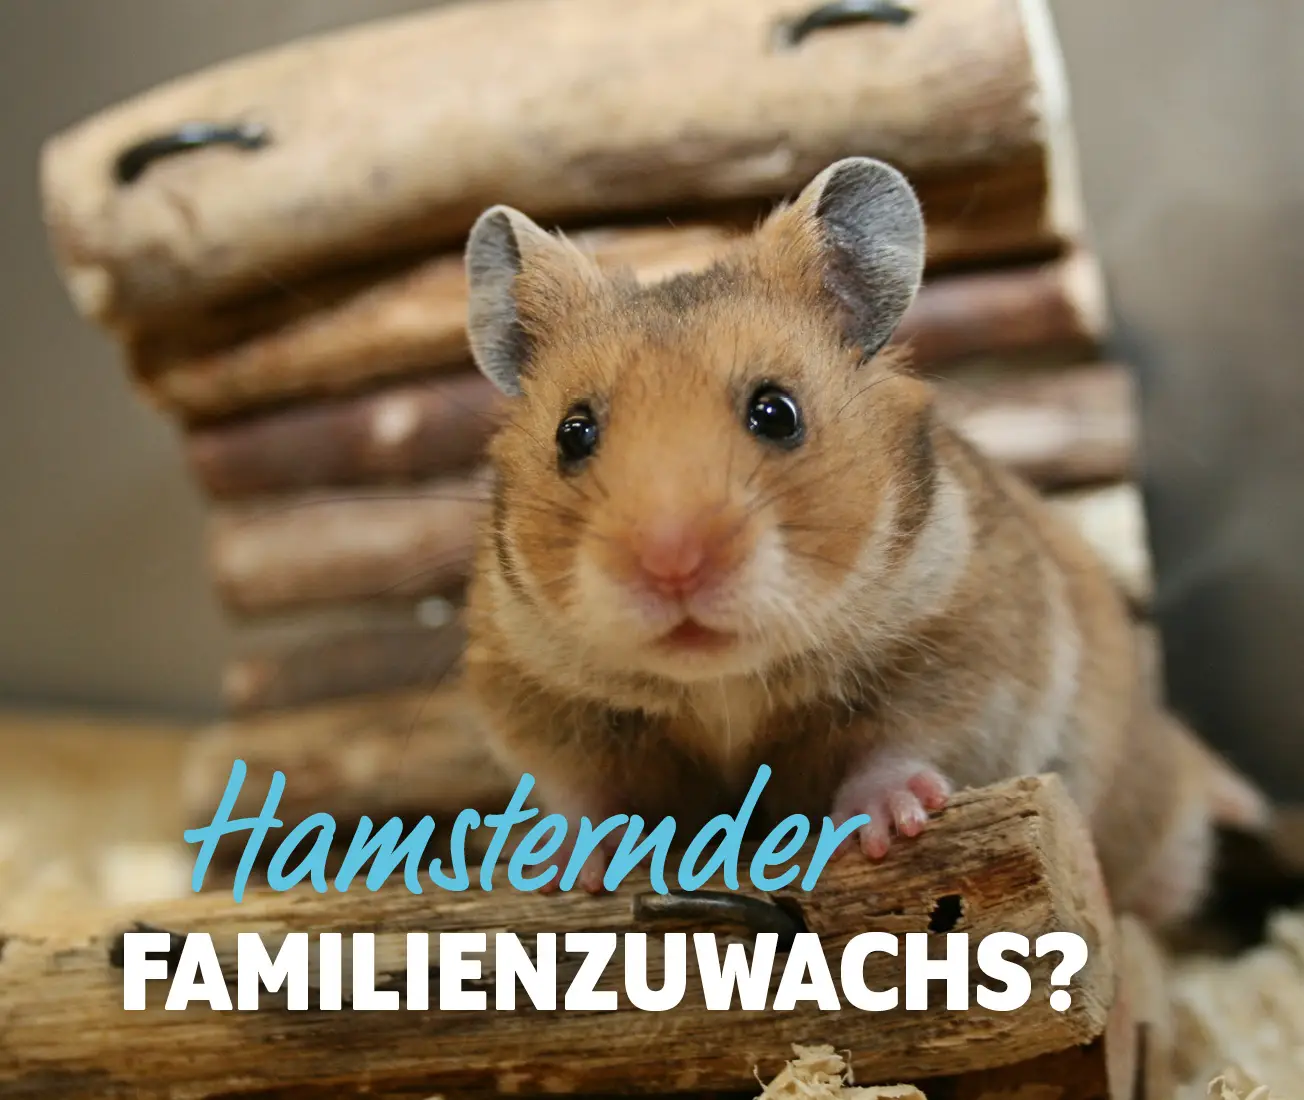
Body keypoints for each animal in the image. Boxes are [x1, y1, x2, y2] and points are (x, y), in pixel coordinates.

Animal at [457, 156, 1267, 926]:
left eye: (776, 413)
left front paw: (887, 829)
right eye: (573, 433)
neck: (723, 685)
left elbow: (905, 742)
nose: (671, 565)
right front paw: (559, 866)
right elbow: (580, 792)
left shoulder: (968, 650)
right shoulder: (533, 690)